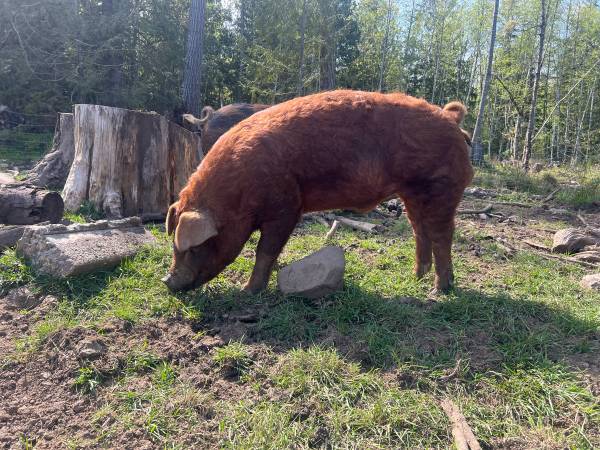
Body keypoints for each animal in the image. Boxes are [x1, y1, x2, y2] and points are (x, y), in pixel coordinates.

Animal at [163, 90, 474, 295]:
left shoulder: (286, 207)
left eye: (195, 246)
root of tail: (450, 117)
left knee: (442, 236)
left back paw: (439, 290)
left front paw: (246, 291)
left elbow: (265, 250)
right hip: (413, 194)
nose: (167, 282)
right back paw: (416, 278)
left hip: (441, 187)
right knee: (420, 232)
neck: (236, 193)